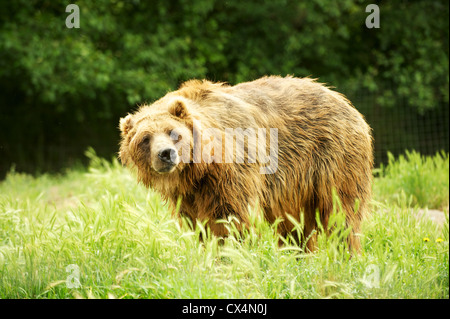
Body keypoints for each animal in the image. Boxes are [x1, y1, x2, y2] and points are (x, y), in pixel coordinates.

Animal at [118, 75, 372, 252]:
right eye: (145, 138)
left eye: (174, 133)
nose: (166, 154)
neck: (198, 170)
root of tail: (345, 102)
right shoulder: (188, 194)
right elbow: (198, 224)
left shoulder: (232, 171)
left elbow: (232, 218)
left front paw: (232, 254)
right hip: (296, 187)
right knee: (295, 225)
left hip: (333, 157)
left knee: (341, 214)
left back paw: (345, 255)